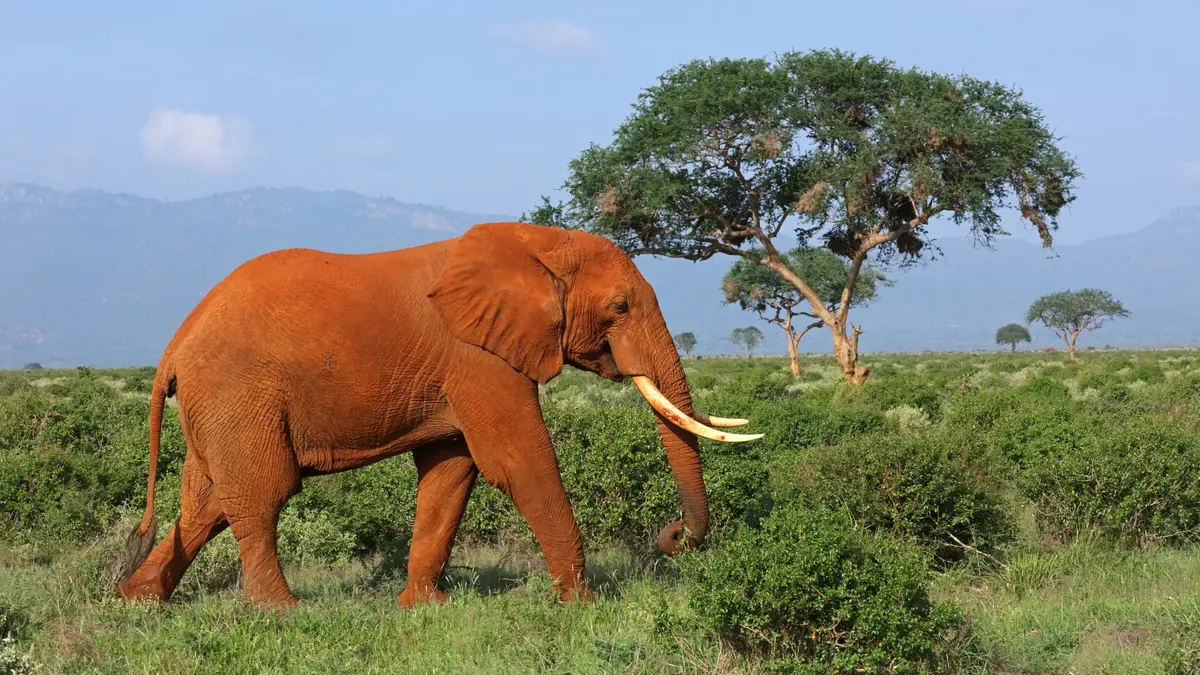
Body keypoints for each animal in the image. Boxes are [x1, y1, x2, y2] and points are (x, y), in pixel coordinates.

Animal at [115, 221, 762, 608]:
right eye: (621, 307)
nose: (671, 537)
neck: (536, 241)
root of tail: (175, 345)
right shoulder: (479, 359)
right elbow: (518, 461)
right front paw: (582, 605)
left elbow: (451, 472)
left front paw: (426, 609)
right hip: (238, 395)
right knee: (261, 493)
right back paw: (282, 612)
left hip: (217, 407)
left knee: (206, 502)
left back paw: (138, 598)